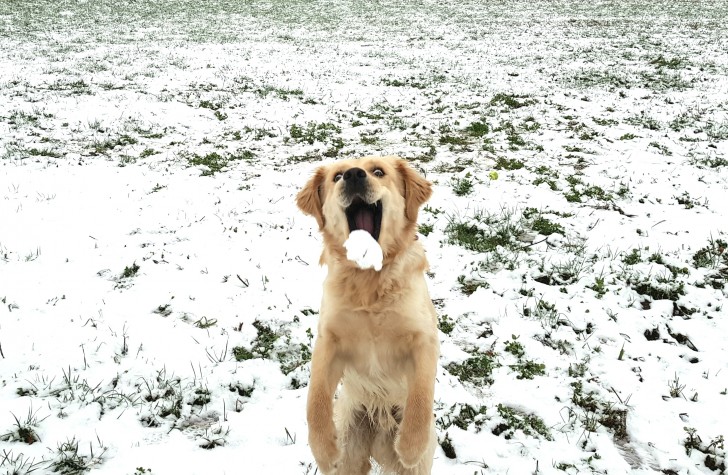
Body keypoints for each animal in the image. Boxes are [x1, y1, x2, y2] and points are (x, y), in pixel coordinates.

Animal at [294, 154, 438, 474]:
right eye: (336, 176)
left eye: (378, 172)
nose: (353, 175)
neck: (369, 280)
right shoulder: (329, 340)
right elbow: (315, 400)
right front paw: (323, 450)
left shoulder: (423, 339)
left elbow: (421, 397)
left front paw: (410, 446)